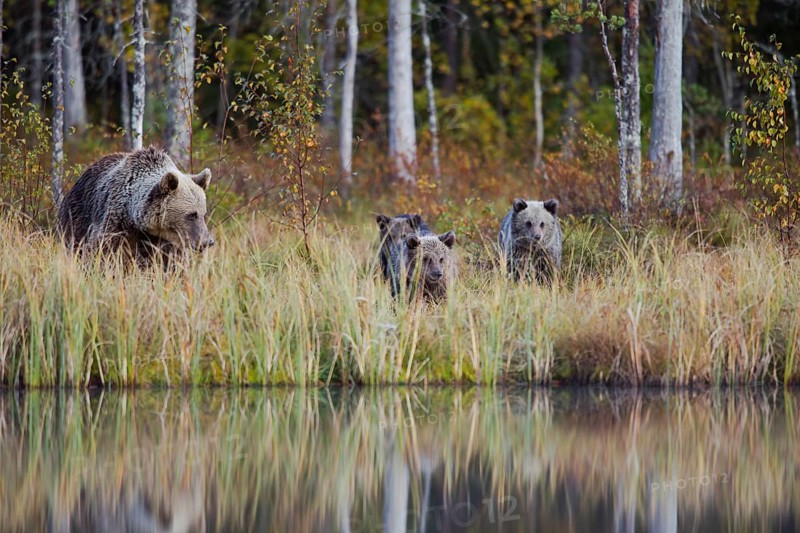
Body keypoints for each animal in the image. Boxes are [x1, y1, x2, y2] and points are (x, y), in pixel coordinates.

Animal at [58, 146, 215, 267]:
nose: (208, 241)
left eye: (203, 214)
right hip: (76, 216)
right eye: (191, 215)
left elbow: (172, 263)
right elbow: (103, 251)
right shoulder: (116, 223)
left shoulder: (167, 242)